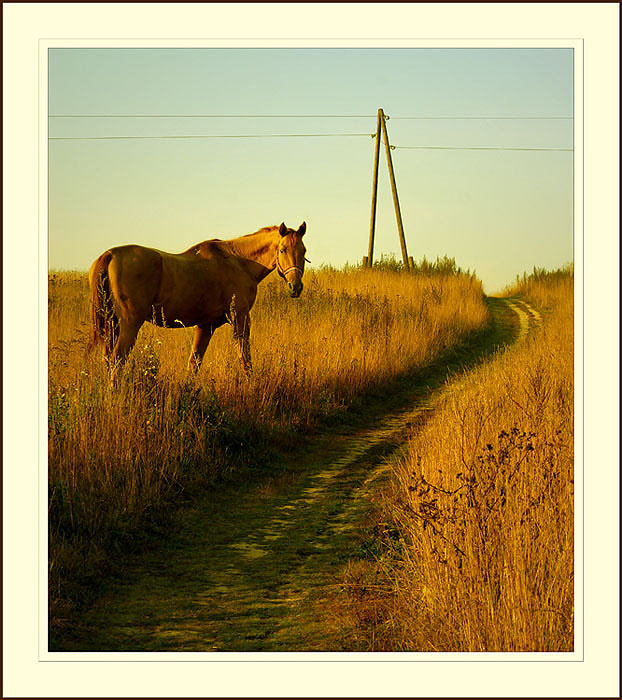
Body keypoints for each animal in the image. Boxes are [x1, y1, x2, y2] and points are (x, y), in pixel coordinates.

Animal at [88, 222, 308, 374]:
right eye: (282, 250)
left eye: (303, 250)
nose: (295, 287)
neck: (238, 262)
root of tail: (110, 255)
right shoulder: (240, 319)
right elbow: (246, 360)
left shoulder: (205, 326)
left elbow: (194, 364)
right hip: (130, 323)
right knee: (117, 361)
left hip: (113, 324)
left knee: (108, 360)